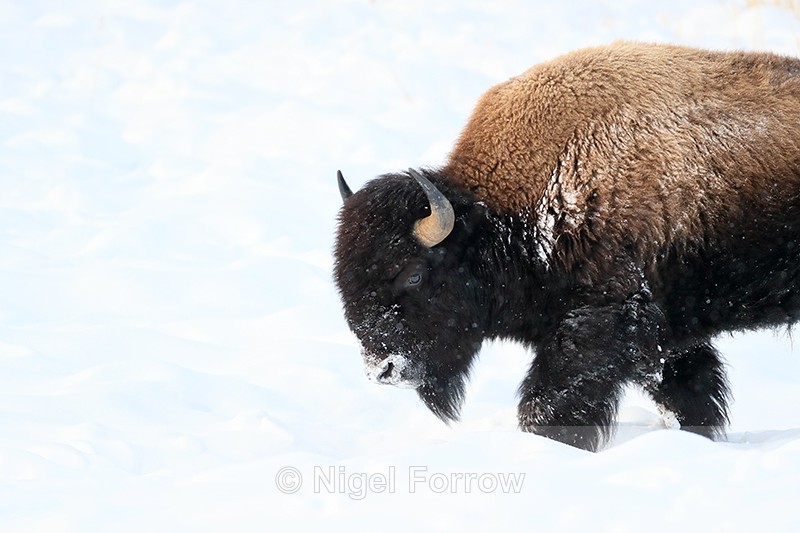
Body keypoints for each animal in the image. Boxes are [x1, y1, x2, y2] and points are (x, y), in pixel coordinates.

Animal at [333, 42, 800, 451]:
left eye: (413, 273)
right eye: (343, 280)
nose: (383, 369)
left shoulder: (601, 321)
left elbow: (550, 404)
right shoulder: (667, 336)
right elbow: (689, 395)